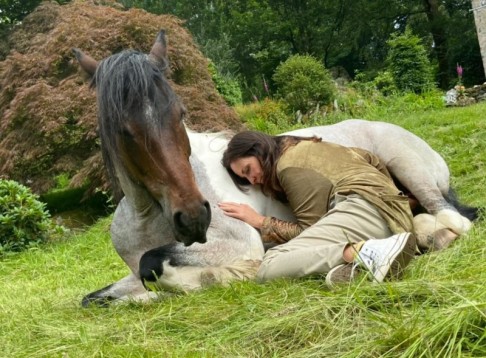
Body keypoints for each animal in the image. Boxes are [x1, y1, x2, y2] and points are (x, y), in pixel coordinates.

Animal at [73, 30, 478, 308]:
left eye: (181, 114)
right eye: (124, 131)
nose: (193, 218)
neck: (147, 216)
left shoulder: (239, 243)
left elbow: (154, 263)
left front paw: (219, 276)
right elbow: (101, 295)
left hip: (406, 166)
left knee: (453, 218)